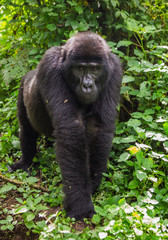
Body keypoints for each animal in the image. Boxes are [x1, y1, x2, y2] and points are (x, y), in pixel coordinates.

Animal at [9, 31, 122, 219]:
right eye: (80, 69)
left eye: (94, 69)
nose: (87, 85)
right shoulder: (49, 67)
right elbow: (70, 129)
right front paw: (80, 203)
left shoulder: (114, 69)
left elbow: (99, 127)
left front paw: (91, 185)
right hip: (23, 85)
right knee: (26, 129)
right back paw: (25, 162)